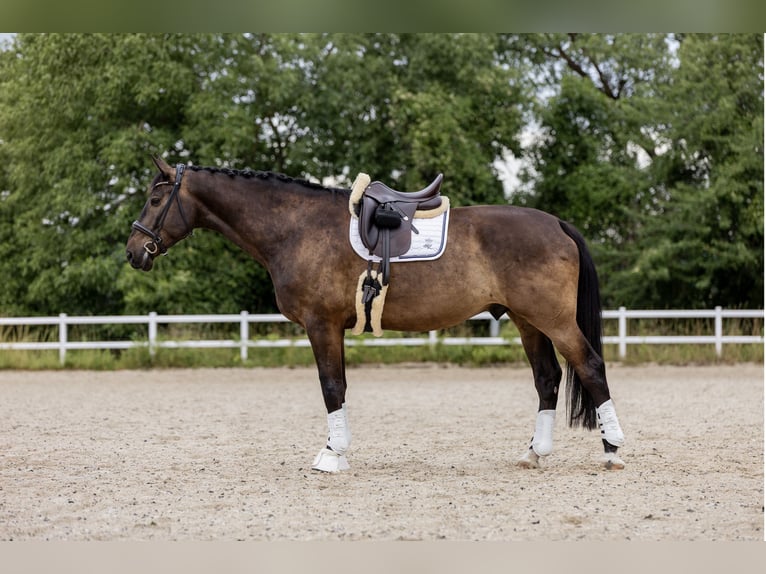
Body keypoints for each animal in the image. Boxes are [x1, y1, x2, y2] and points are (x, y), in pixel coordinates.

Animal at [126, 156, 626, 472]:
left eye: (155, 200)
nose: (134, 250)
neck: (297, 227)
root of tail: (556, 223)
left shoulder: (322, 325)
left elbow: (331, 387)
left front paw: (332, 455)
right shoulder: (333, 328)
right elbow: (339, 387)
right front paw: (338, 451)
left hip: (553, 320)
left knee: (590, 366)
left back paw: (612, 450)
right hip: (527, 322)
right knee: (547, 379)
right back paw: (534, 453)